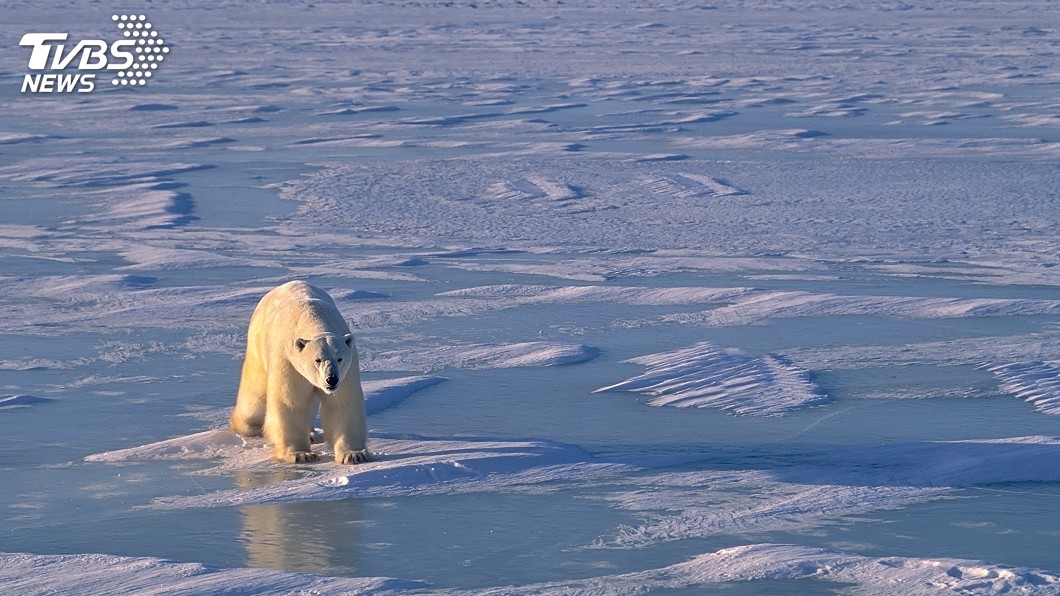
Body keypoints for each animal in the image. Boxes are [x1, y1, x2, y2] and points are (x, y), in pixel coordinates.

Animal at [230, 280, 370, 465]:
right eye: (317, 360)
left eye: (339, 358)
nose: (331, 380)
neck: (312, 316)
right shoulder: (288, 361)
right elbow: (291, 402)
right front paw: (301, 454)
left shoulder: (348, 369)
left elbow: (342, 402)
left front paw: (354, 454)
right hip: (257, 343)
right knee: (256, 392)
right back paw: (250, 427)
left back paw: (311, 435)